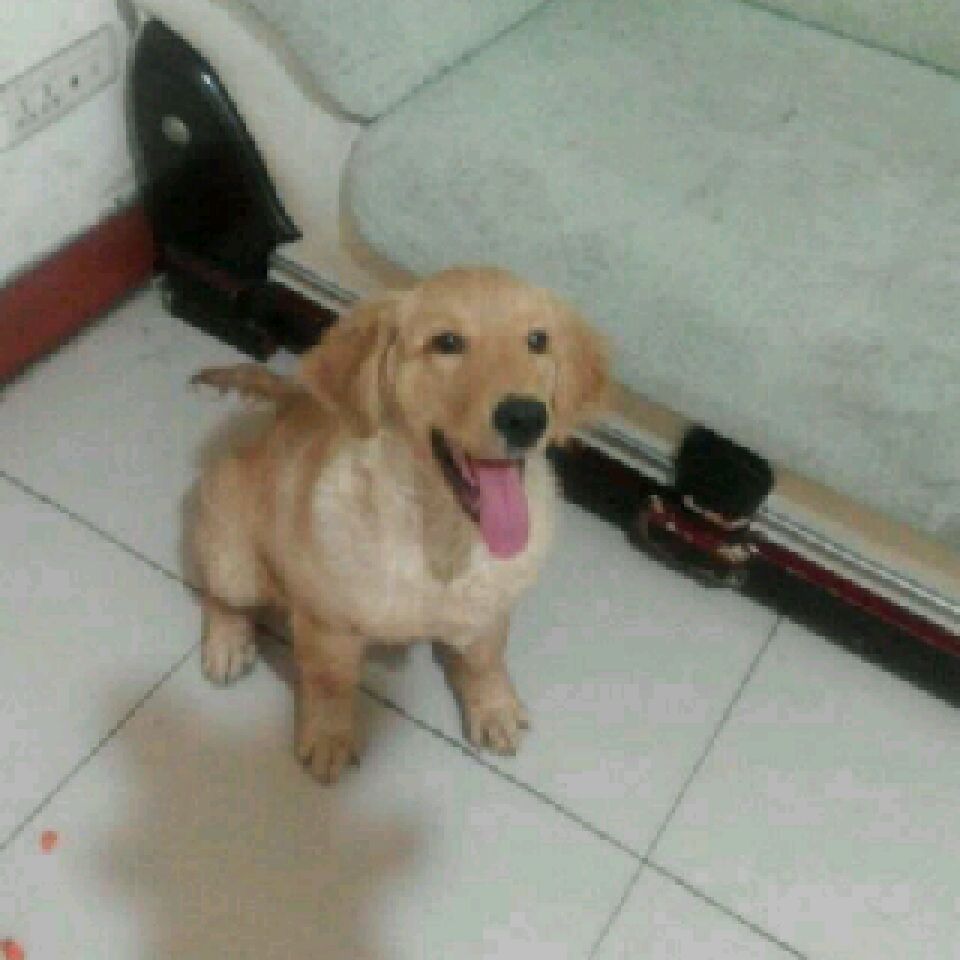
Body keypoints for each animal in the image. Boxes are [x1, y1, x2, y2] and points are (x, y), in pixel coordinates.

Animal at [191, 267, 609, 783]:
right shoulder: (328, 624)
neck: (442, 536)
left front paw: (493, 708)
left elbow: (486, 659)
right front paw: (329, 736)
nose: (526, 416)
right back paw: (227, 643)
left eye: (537, 340)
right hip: (232, 548)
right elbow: (330, 682)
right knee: (220, 593)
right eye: (447, 342)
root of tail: (291, 405)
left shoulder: (491, 604)